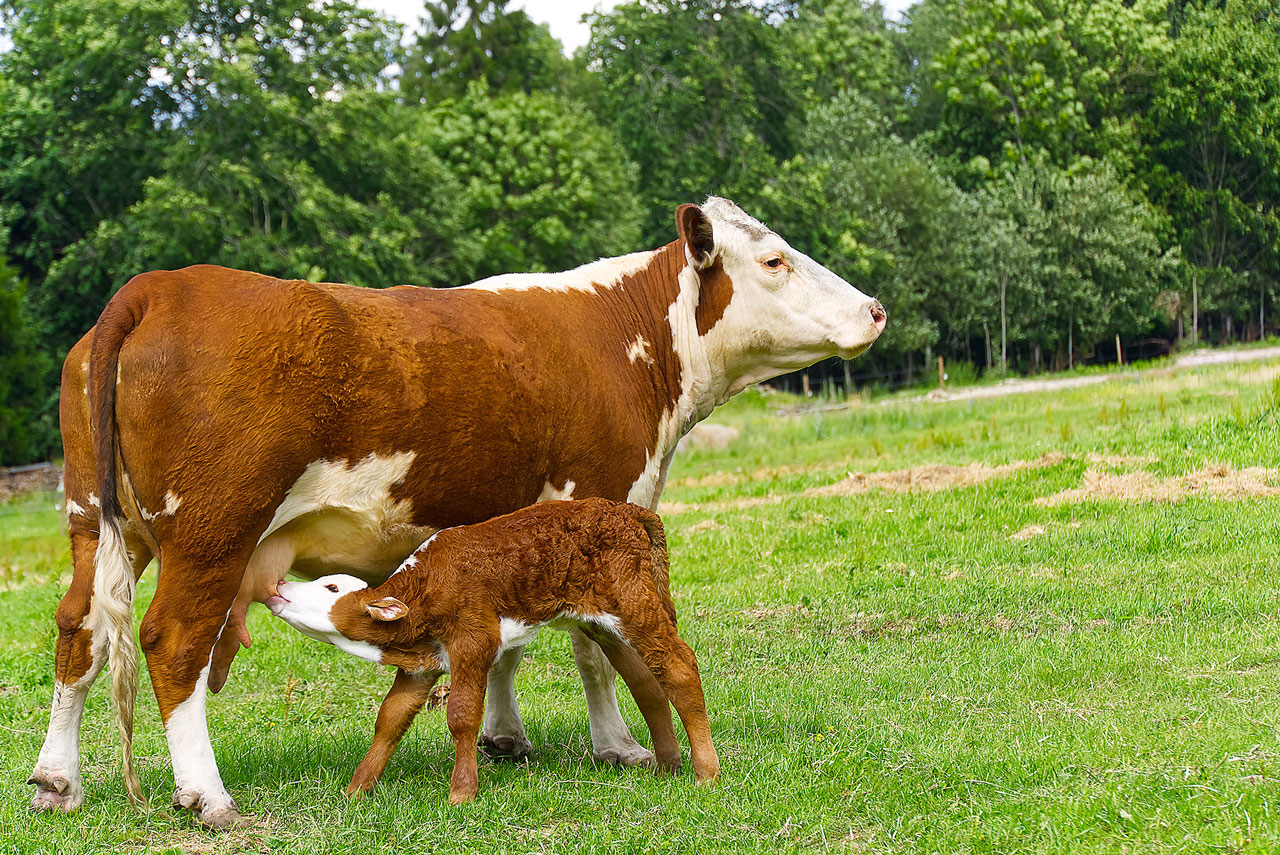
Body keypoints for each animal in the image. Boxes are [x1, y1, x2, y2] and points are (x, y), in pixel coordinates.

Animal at [267, 496, 721, 803]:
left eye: (331, 587)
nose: (280, 583)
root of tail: (624, 509)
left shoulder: (473, 639)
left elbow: (462, 714)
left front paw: (461, 793)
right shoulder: (421, 665)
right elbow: (390, 719)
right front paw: (356, 790)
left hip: (635, 603)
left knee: (680, 667)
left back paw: (706, 773)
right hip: (603, 621)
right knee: (647, 679)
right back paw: (668, 766)